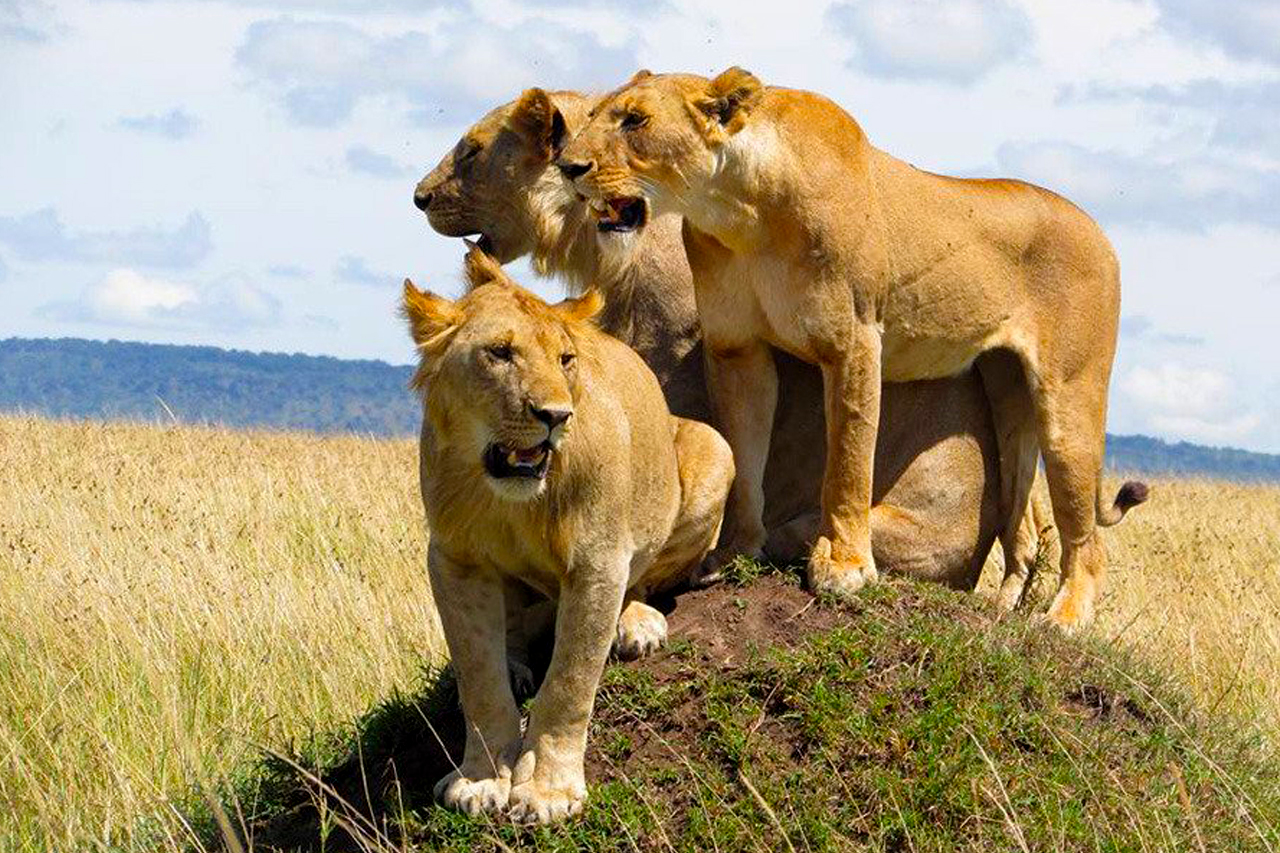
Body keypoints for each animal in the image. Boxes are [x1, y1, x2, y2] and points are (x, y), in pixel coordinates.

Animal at [403, 243, 734, 823]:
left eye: (565, 359)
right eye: (500, 353)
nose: (555, 415)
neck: (511, 498)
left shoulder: (597, 560)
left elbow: (570, 680)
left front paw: (547, 791)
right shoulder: (454, 561)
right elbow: (478, 674)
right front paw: (481, 778)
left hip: (714, 449)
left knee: (646, 580)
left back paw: (636, 624)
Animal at [557, 68, 1148, 630]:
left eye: (635, 120)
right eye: (594, 114)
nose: (567, 166)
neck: (738, 209)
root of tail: (1101, 231)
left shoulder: (853, 341)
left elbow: (848, 458)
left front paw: (843, 567)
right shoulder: (738, 349)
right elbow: (745, 458)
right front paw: (732, 552)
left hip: (1068, 398)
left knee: (1086, 538)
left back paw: (1066, 619)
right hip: (1007, 397)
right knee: (1021, 523)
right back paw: (1002, 611)